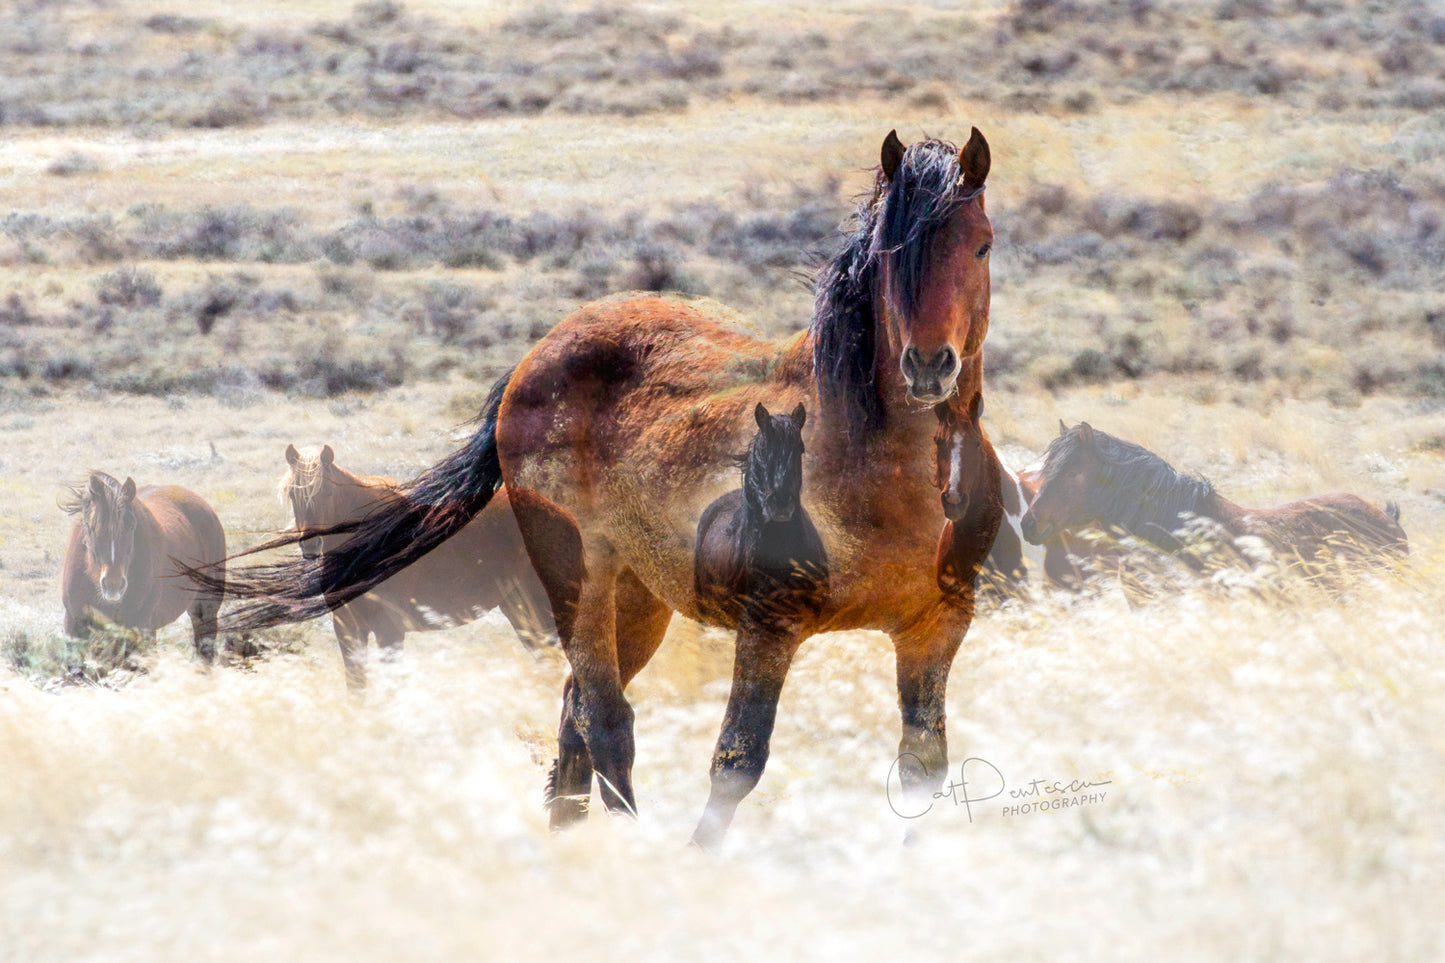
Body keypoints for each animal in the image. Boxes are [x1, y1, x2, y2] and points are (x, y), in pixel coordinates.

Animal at [61, 465, 225, 659]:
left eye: (131, 526)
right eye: (91, 528)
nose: (113, 584)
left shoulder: (138, 630)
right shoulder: (74, 627)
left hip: (205, 610)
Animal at [281, 442, 557, 691]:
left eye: (327, 493)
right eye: (293, 495)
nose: (310, 545)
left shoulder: (389, 631)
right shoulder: (347, 629)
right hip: (521, 613)